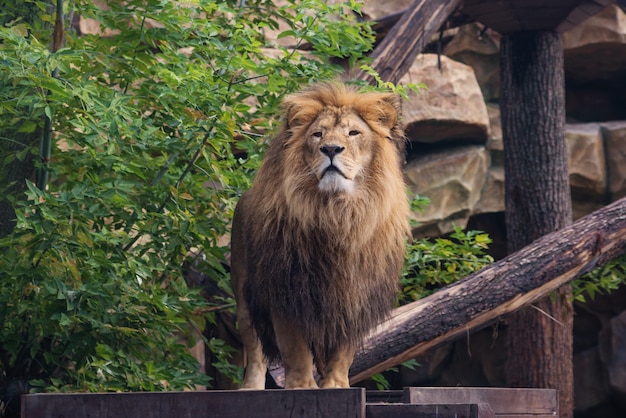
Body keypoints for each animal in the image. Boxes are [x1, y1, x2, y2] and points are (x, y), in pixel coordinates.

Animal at [229, 81, 410, 388]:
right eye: (317, 134)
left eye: (353, 133)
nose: (331, 149)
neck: (335, 214)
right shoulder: (287, 291)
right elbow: (296, 350)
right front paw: (302, 387)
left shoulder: (352, 296)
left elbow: (342, 351)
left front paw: (336, 386)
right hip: (244, 295)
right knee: (254, 349)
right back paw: (250, 387)